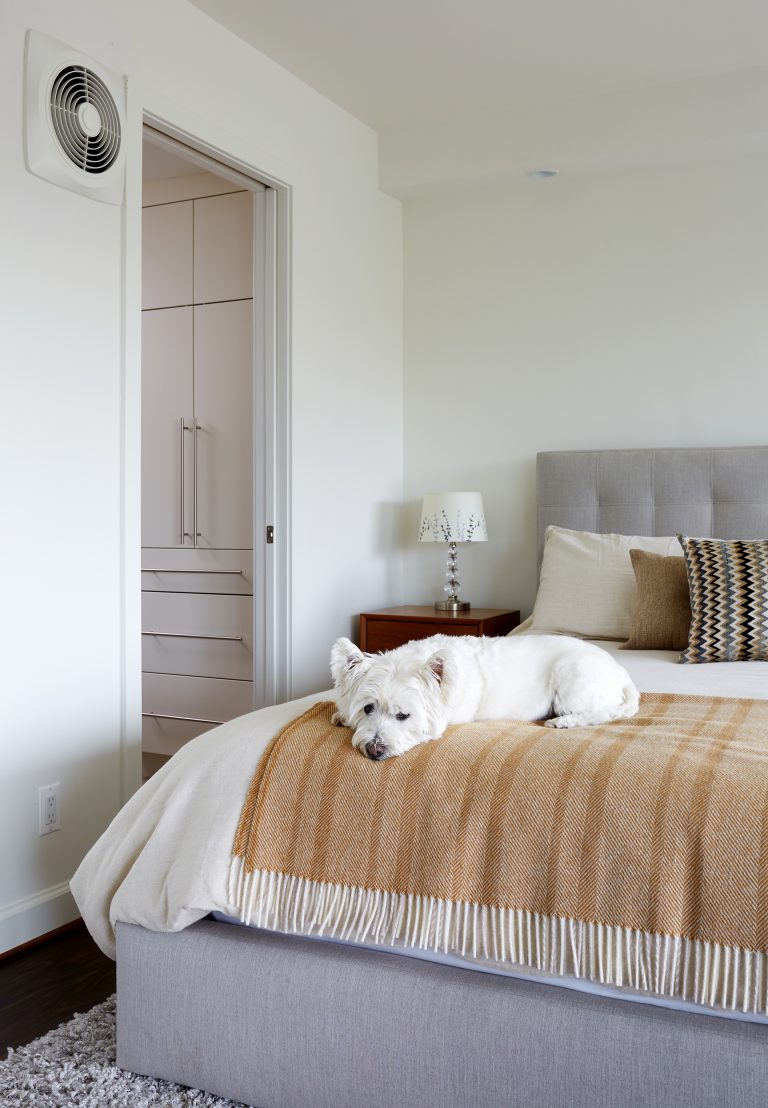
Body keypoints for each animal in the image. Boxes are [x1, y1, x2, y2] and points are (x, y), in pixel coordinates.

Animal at [332, 633, 638, 762]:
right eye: (367, 709)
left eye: (403, 715)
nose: (374, 749)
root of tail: (622, 673)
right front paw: (340, 716)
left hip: (571, 677)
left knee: (602, 712)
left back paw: (563, 721)